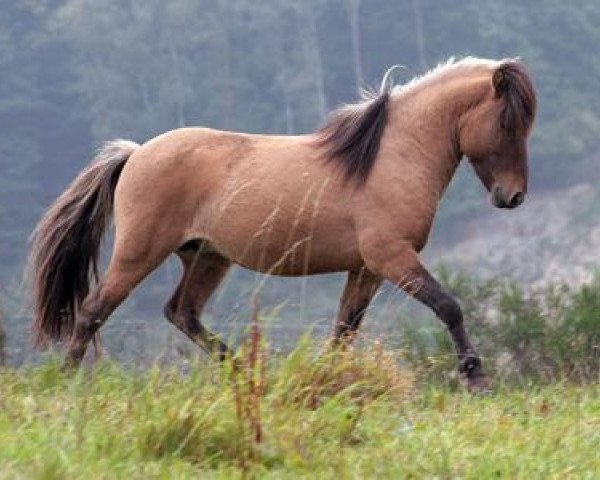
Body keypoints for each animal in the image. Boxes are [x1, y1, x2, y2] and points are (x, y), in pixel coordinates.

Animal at [27, 57, 536, 394]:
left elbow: (343, 332)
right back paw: (64, 387)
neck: (391, 157)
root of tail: (135, 153)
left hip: (207, 257)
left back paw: (249, 375)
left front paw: (326, 384)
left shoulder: (365, 269)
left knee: (182, 313)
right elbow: (449, 307)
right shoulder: (391, 258)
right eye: (507, 124)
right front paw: (477, 378)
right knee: (94, 311)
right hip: (140, 253)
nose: (512, 197)